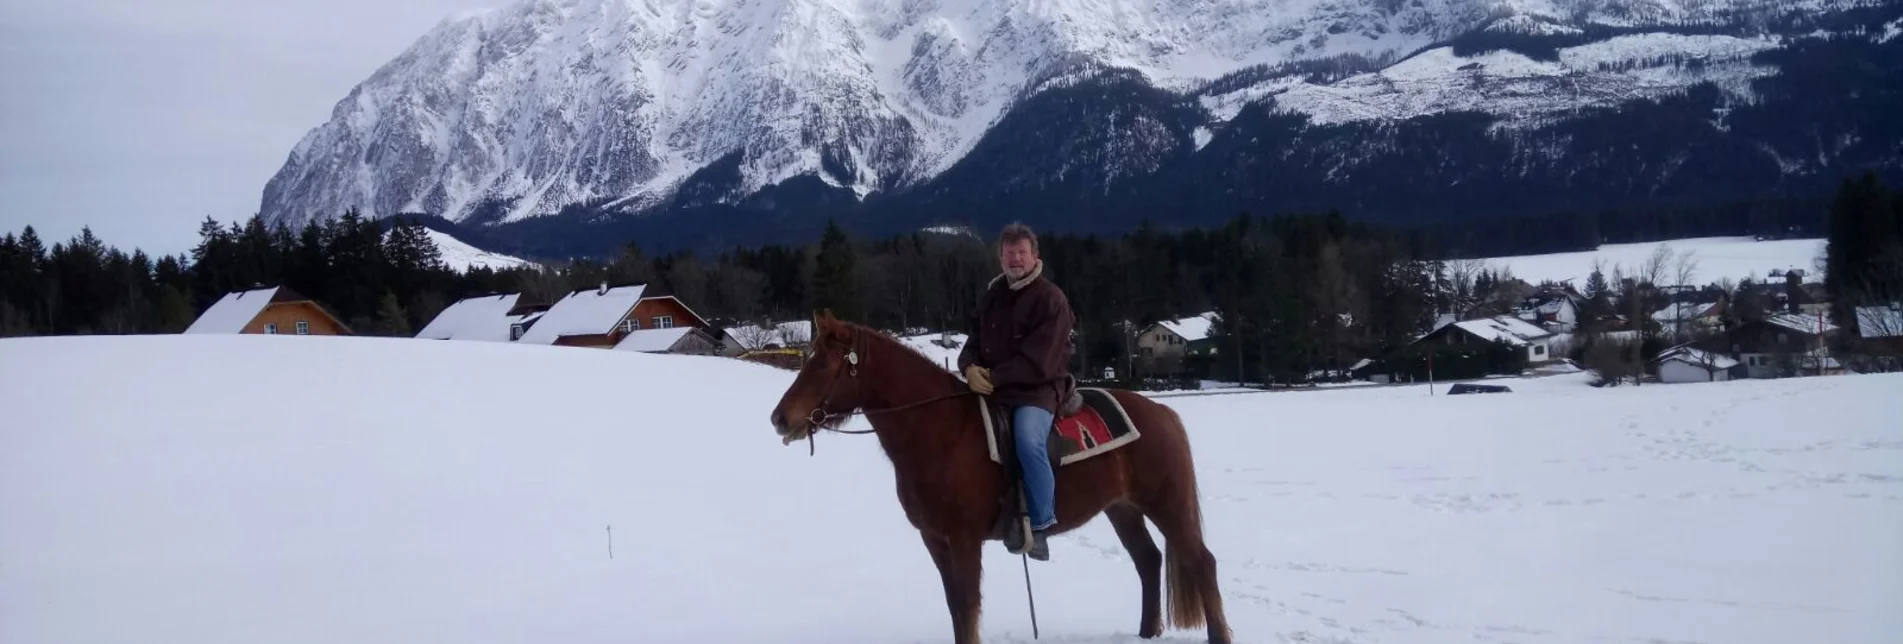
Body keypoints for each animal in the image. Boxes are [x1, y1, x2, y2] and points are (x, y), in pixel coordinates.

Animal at [768, 308, 1233, 640]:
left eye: (823, 365)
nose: (779, 418)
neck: (940, 429)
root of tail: (1162, 413)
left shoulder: (964, 538)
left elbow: (968, 606)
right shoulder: (934, 539)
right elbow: (956, 606)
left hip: (1166, 504)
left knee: (1202, 563)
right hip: (1122, 508)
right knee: (1148, 560)